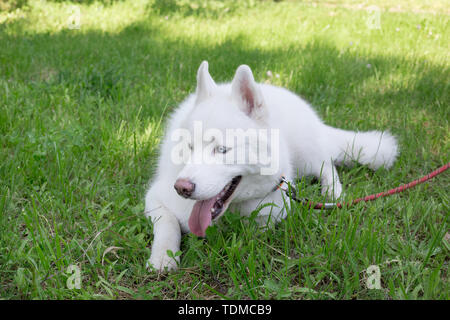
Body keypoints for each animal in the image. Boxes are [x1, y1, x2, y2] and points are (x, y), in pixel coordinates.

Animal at [145, 61, 398, 272]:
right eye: (189, 147)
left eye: (223, 149)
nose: (182, 188)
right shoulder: (155, 198)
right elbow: (168, 225)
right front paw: (163, 257)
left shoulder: (276, 209)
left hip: (306, 153)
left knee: (327, 164)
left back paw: (332, 192)